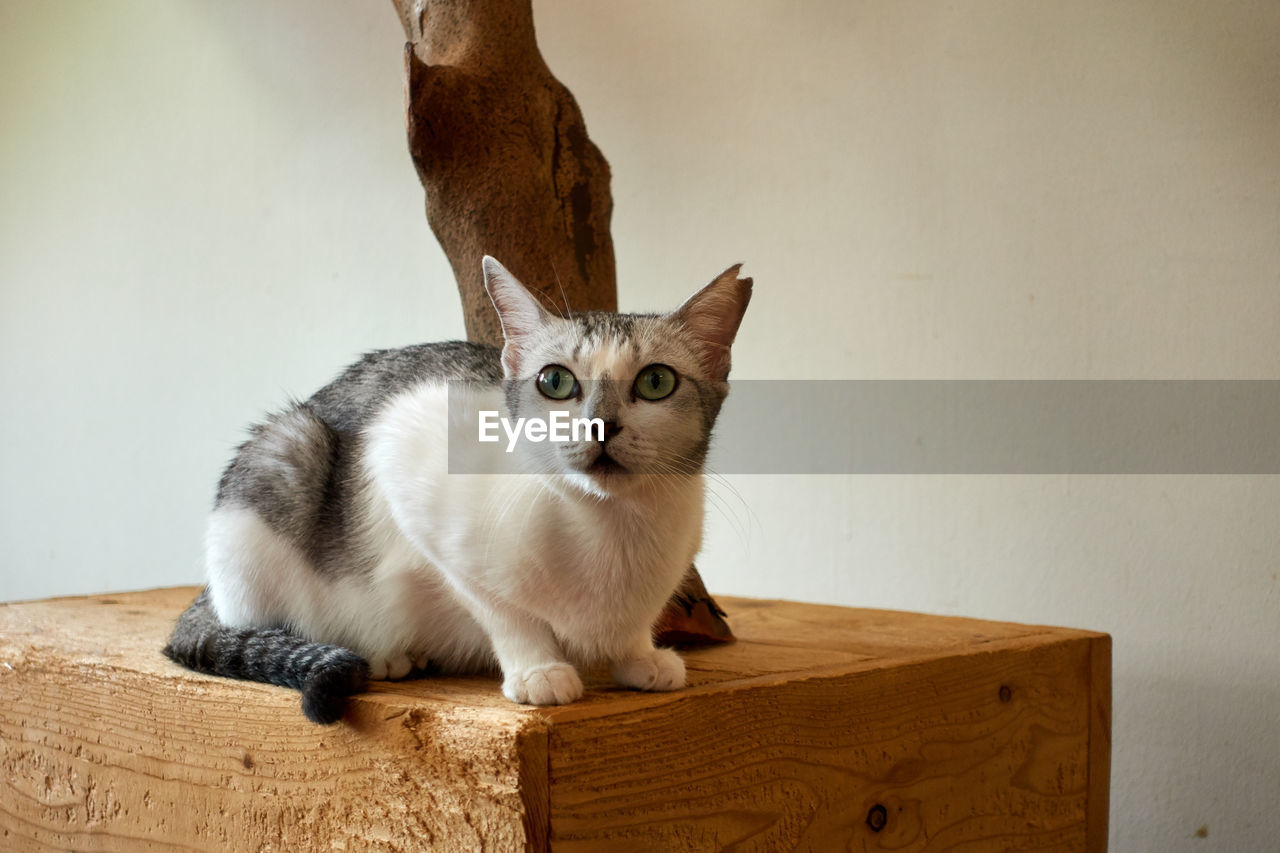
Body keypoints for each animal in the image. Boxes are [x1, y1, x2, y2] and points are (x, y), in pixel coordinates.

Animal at [166, 256, 752, 722]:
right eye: (555, 382)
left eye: (656, 382)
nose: (600, 426)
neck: (610, 526)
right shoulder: (408, 457)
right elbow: (501, 610)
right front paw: (537, 667)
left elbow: (631, 630)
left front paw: (638, 656)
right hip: (284, 457)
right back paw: (384, 655)